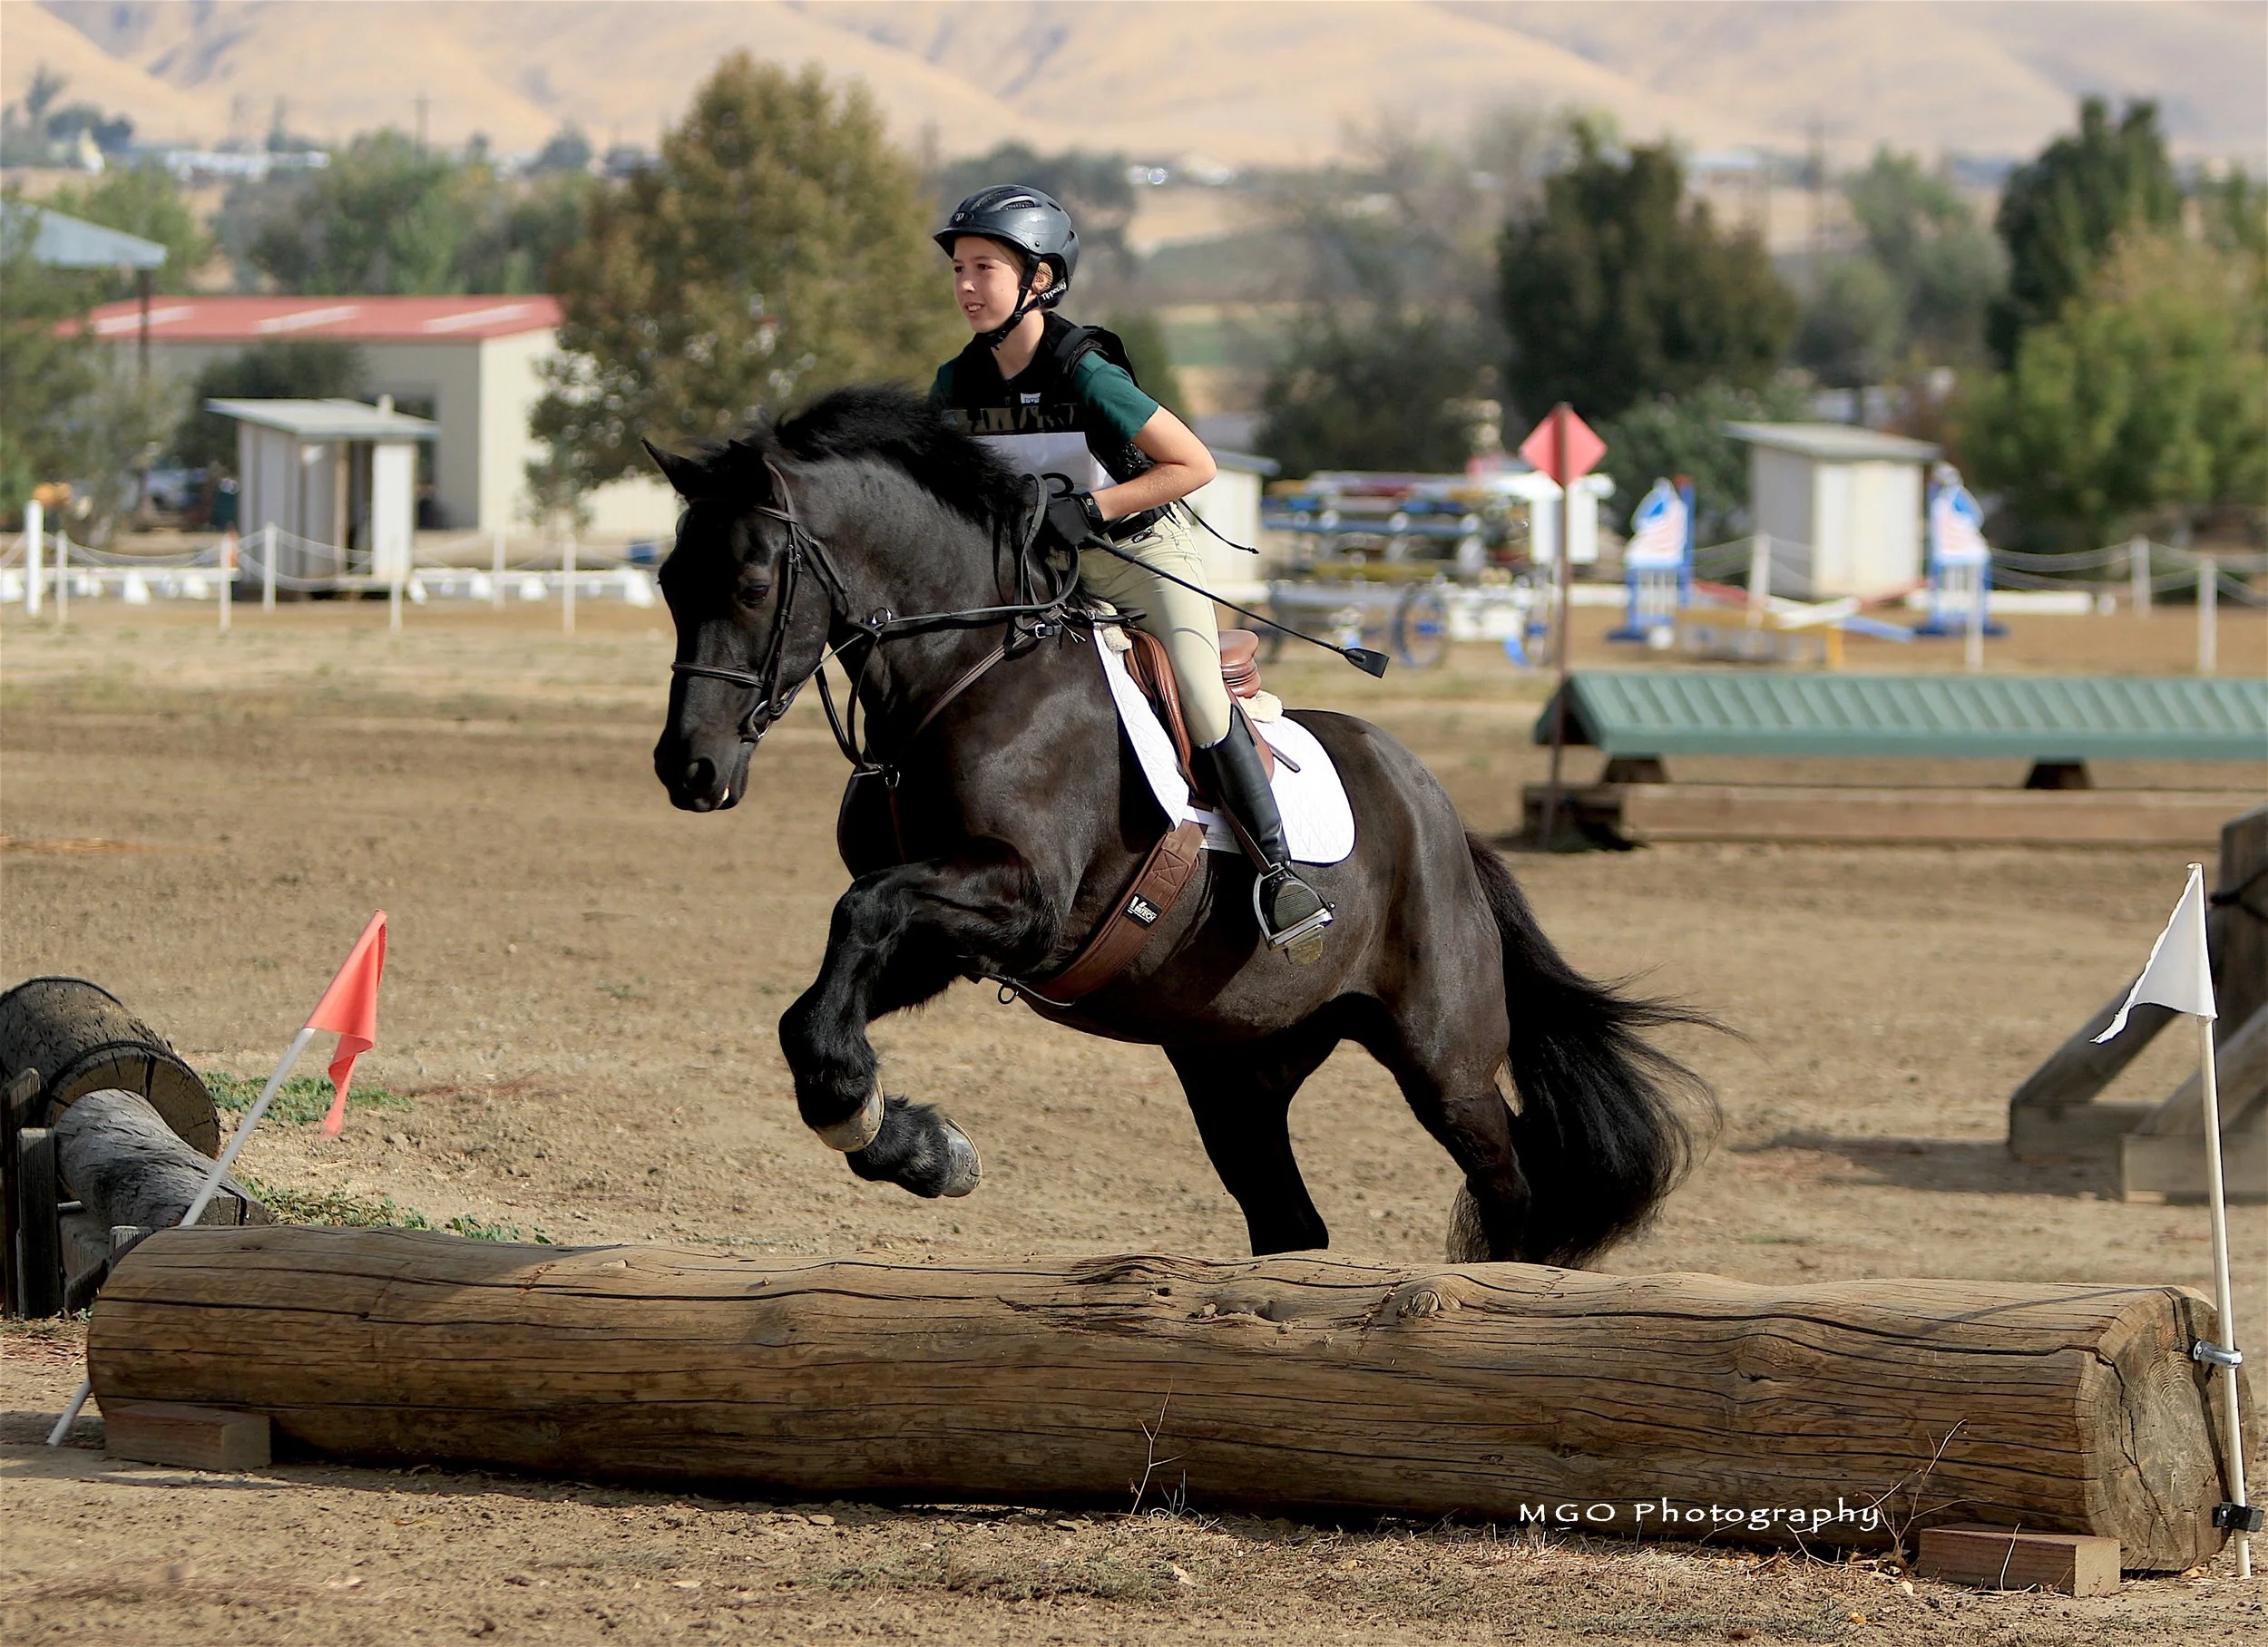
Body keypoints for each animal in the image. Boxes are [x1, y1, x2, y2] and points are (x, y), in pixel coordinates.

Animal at [648, 384, 1711, 1267]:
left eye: (751, 585)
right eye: (666, 581)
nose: (687, 769)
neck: (965, 671)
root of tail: (1443, 819)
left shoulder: (1022, 903)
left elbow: (862, 912)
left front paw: (894, 1127)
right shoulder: (950, 933)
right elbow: (816, 1004)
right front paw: (910, 1142)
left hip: (1441, 1060)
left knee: (1510, 1189)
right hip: (1235, 1067)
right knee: (1291, 1223)